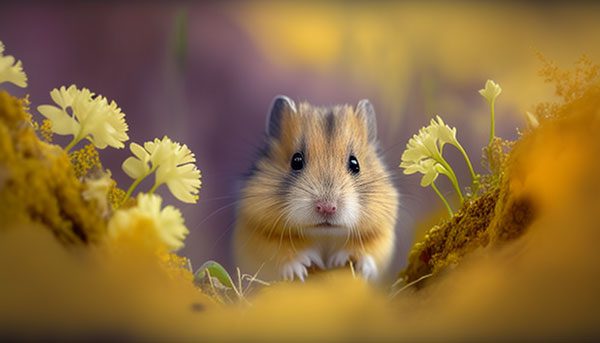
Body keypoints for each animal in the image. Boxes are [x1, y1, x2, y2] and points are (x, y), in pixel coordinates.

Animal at [234, 96, 398, 282]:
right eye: (296, 161)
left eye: (355, 164)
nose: (327, 208)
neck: (323, 233)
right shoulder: (255, 233)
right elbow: (279, 252)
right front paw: (302, 267)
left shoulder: (382, 234)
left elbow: (370, 252)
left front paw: (343, 261)